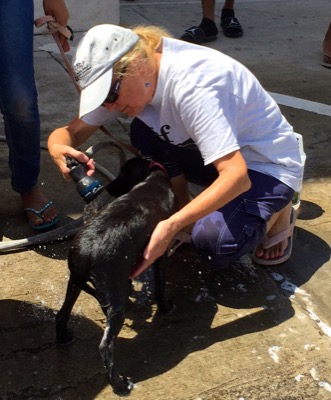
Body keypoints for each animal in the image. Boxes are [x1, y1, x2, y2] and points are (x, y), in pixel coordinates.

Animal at [55, 155, 178, 394]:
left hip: (75, 282)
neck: (153, 178)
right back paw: (120, 384)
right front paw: (166, 307)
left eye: (123, 173)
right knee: (105, 346)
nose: (109, 187)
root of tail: (85, 251)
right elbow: (160, 283)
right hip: (112, 293)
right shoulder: (160, 250)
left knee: (62, 314)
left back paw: (64, 338)